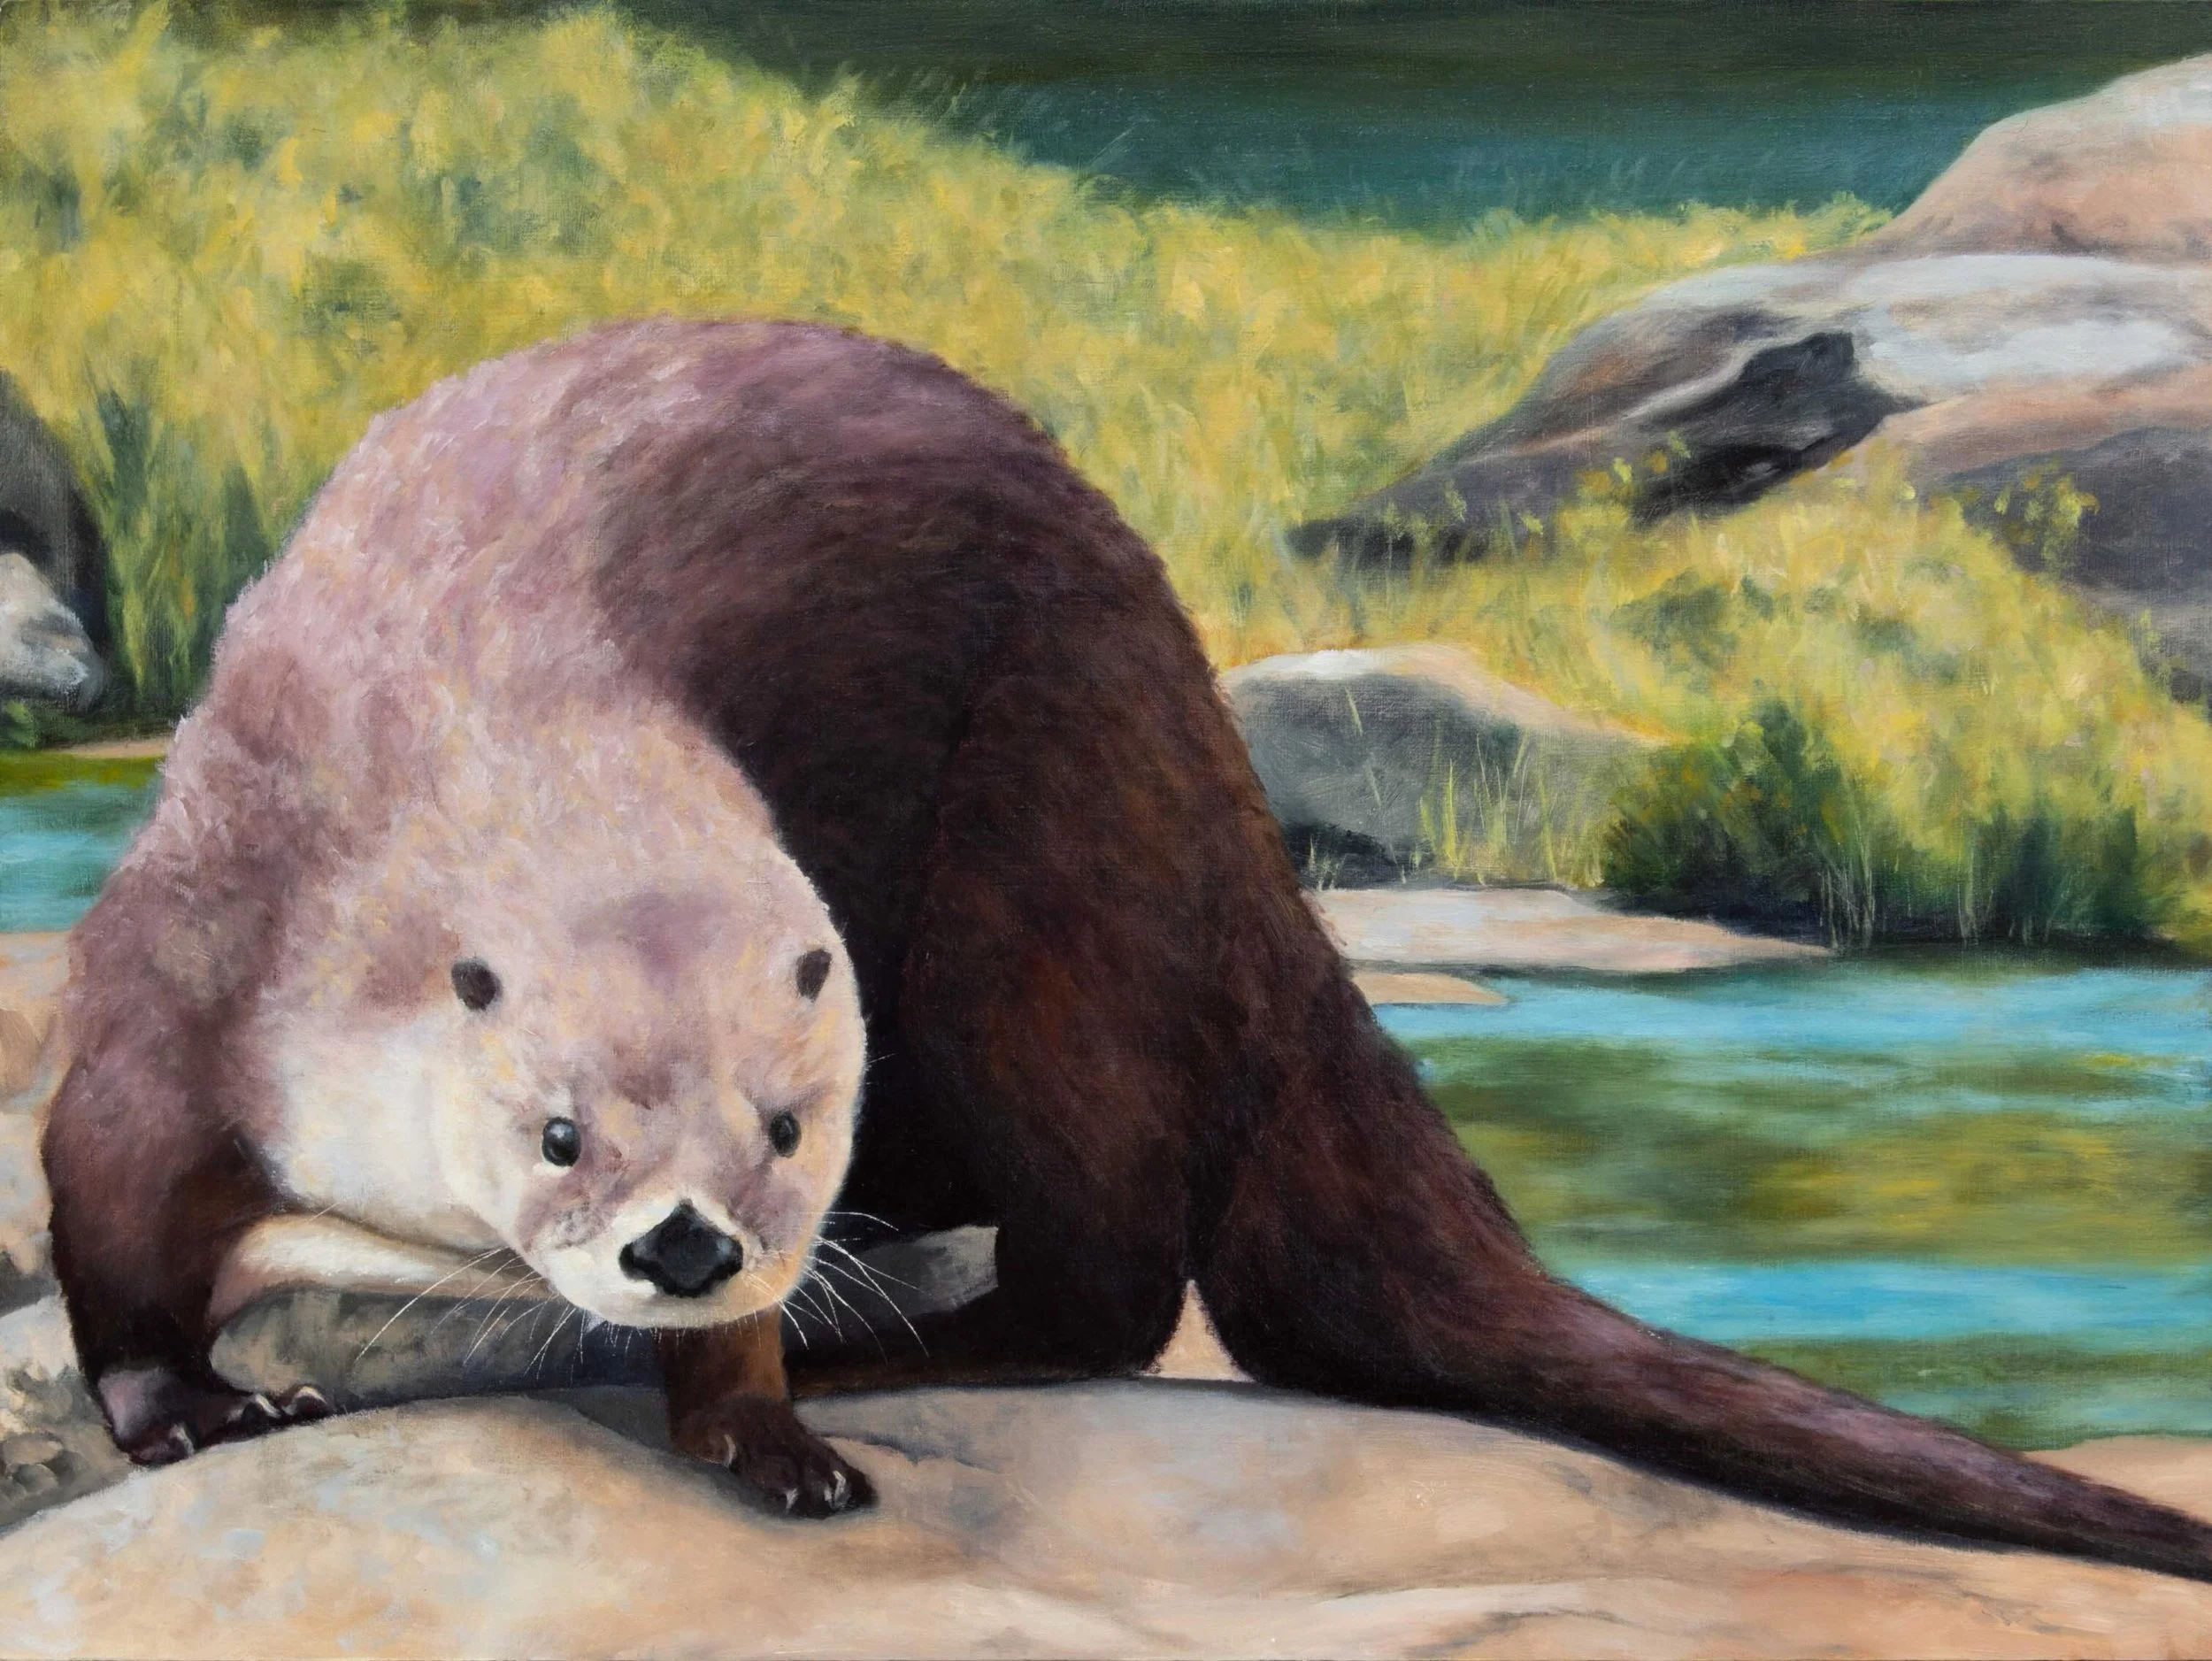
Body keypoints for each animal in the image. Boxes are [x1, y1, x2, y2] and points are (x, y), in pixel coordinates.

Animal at [41, 318, 2212, 1571]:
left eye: (782, 1127)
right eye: (560, 1129)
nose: (684, 1242)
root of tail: (1247, 870)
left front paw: (768, 1430)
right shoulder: (195, 944)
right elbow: (111, 1204)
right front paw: (193, 1410)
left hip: (1044, 898)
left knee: (1109, 1260)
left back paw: (901, 1336)